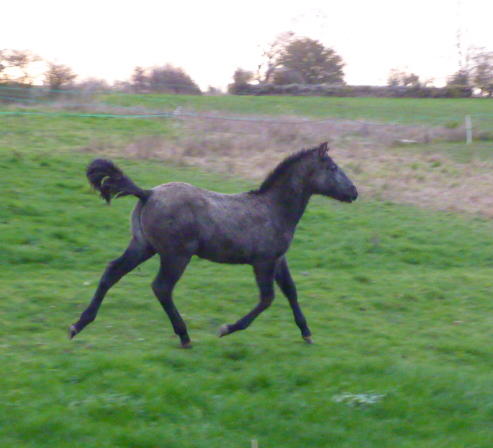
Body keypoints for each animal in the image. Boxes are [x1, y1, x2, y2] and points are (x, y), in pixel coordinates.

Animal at [67, 142, 356, 348]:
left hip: (143, 246)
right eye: (332, 168)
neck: (273, 208)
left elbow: (291, 291)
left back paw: (78, 325)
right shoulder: (263, 261)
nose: (354, 192)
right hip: (176, 255)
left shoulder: (278, 259)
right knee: (161, 287)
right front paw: (227, 329)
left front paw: (306, 332)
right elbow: (267, 298)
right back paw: (184, 336)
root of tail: (148, 193)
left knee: (112, 272)